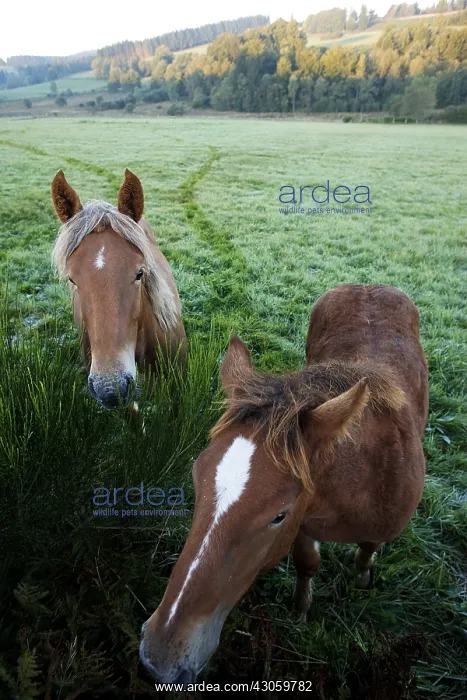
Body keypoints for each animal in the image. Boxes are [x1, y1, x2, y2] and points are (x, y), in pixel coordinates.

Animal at [139, 284, 429, 685]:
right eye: (197, 480)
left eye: (279, 515)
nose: (160, 655)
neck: (361, 479)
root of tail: (368, 285)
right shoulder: (305, 523)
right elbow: (307, 562)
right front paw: (301, 609)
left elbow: (368, 548)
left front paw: (362, 575)